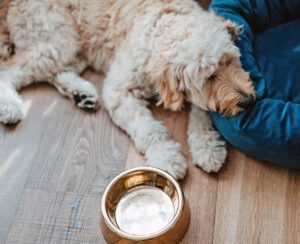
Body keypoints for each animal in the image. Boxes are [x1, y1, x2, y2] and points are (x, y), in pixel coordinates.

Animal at [0, 0, 255, 179]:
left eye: (230, 60)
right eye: (209, 76)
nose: (248, 100)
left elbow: (202, 112)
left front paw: (207, 146)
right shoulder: (119, 92)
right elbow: (148, 128)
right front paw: (166, 156)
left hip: (74, 45)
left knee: (54, 72)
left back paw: (82, 93)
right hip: (61, 40)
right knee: (10, 69)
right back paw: (9, 105)